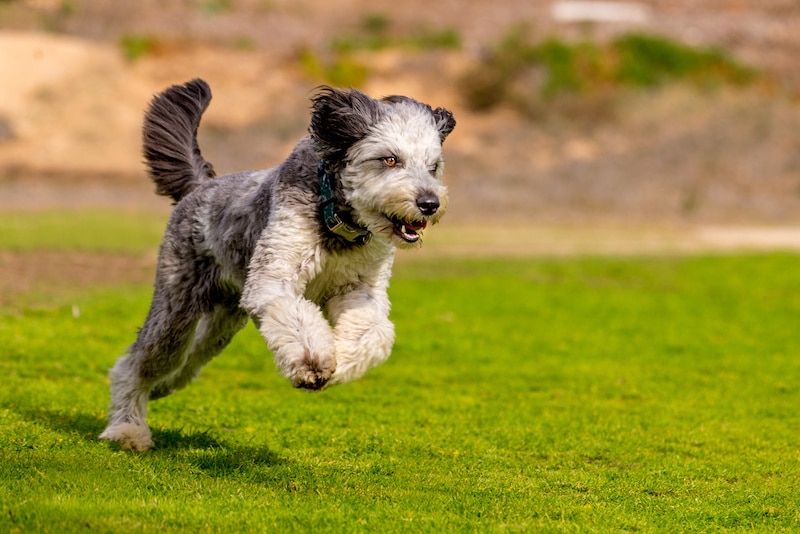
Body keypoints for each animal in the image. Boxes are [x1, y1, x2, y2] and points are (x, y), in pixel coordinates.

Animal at [98, 77, 456, 450]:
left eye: (433, 166)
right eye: (389, 159)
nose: (429, 203)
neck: (338, 222)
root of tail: (201, 185)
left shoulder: (361, 290)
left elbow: (375, 334)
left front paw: (341, 362)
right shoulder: (275, 276)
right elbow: (295, 317)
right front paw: (313, 363)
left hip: (222, 323)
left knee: (188, 361)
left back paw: (163, 388)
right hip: (176, 308)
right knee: (134, 363)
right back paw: (127, 429)